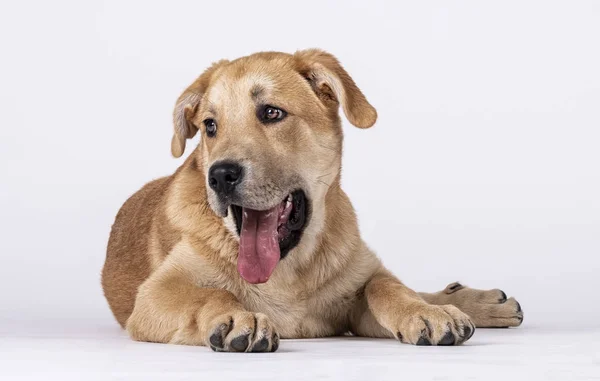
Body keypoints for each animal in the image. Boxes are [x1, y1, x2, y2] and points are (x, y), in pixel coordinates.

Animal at [101, 49, 524, 352]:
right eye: (210, 126)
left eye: (272, 112)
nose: (219, 176)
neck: (289, 271)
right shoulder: (153, 297)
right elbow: (212, 293)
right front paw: (238, 317)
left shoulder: (357, 297)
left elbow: (386, 287)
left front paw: (423, 312)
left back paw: (471, 303)